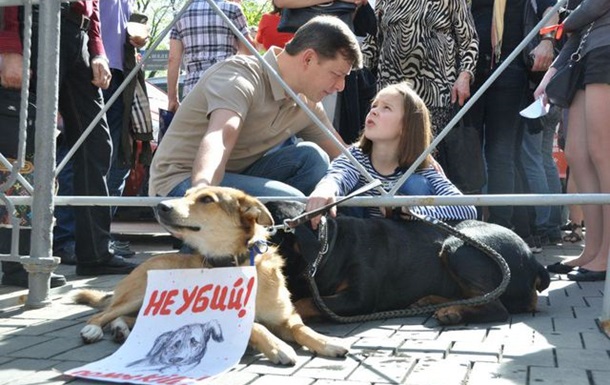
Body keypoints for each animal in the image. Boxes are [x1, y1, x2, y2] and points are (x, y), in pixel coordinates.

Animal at [73, 188, 346, 364]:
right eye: (185, 195)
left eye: (206, 199)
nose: (161, 206)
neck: (238, 264)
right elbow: (256, 326)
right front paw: (279, 347)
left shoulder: (286, 317)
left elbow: (302, 329)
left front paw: (327, 342)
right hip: (137, 295)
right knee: (104, 314)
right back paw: (93, 330)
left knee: (127, 318)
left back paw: (120, 330)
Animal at [264, 202, 548, 326]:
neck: (328, 247)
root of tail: (534, 262)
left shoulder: (358, 299)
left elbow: (306, 302)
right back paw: (432, 302)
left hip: (458, 247)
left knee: (496, 307)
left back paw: (451, 313)